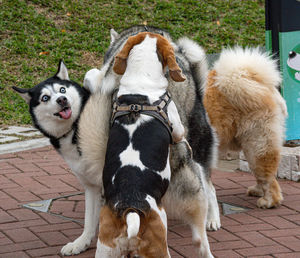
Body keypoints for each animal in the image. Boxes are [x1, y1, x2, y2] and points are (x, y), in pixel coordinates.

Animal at [204, 47, 288, 209]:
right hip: (251, 143)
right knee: (260, 172)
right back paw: (257, 191)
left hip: (258, 141)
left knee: (266, 175)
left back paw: (268, 201)